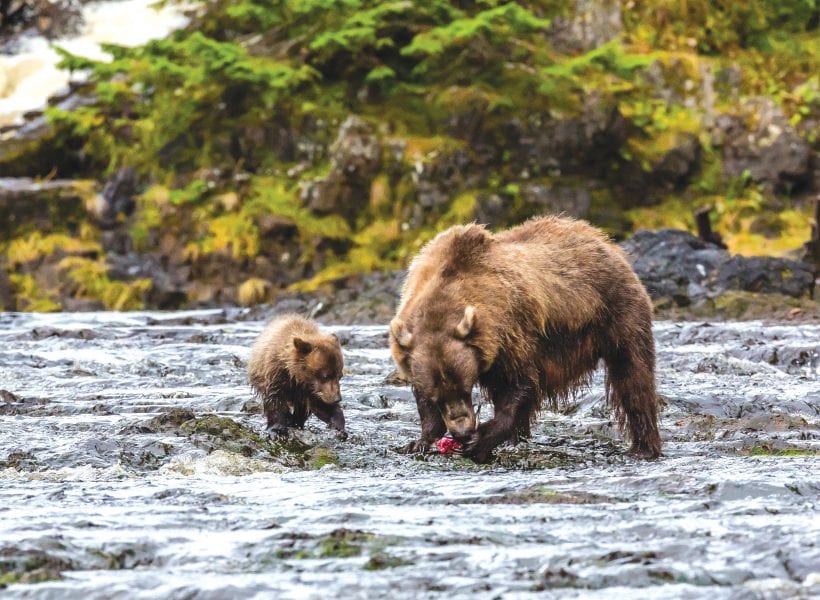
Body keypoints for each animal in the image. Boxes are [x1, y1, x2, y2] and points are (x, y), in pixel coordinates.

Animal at [389, 215, 661, 463]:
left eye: (466, 388)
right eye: (438, 396)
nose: (463, 432)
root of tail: (604, 240)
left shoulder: (511, 333)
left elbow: (519, 385)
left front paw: (482, 439)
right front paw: (418, 442)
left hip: (617, 314)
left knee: (633, 378)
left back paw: (643, 448)